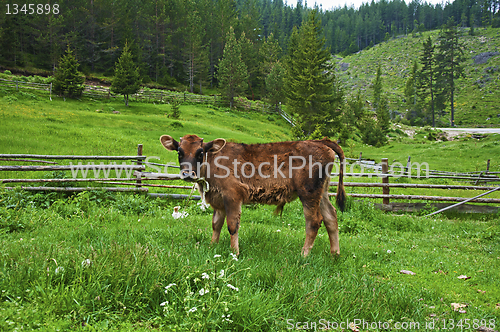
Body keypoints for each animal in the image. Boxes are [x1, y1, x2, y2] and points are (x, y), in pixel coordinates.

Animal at [160, 134, 344, 255]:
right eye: (179, 152)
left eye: (200, 152)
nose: (187, 174)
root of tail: (321, 142)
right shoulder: (218, 200)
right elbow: (216, 224)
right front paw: (213, 246)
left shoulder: (233, 195)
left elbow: (232, 225)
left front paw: (234, 253)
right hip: (322, 192)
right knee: (331, 217)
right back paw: (335, 254)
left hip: (309, 192)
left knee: (314, 221)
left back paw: (304, 255)